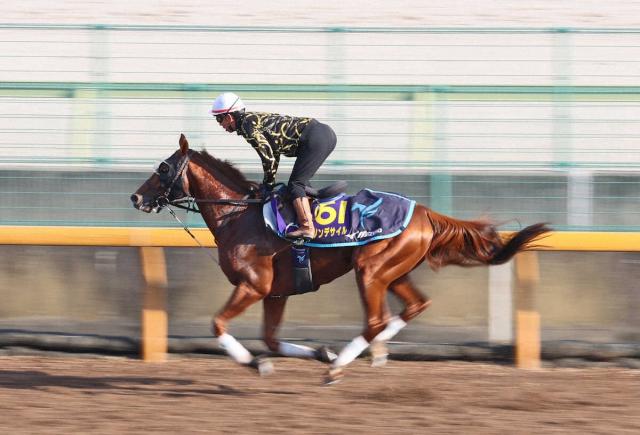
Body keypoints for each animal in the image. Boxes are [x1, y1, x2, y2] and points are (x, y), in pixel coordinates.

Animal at [131, 134, 551, 383]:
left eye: (163, 167)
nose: (136, 197)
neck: (240, 216)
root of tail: (426, 212)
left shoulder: (254, 286)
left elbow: (218, 325)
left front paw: (258, 363)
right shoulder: (275, 293)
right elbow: (271, 339)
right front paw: (319, 351)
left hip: (371, 271)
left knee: (376, 320)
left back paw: (342, 364)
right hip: (393, 271)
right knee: (415, 305)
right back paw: (368, 353)